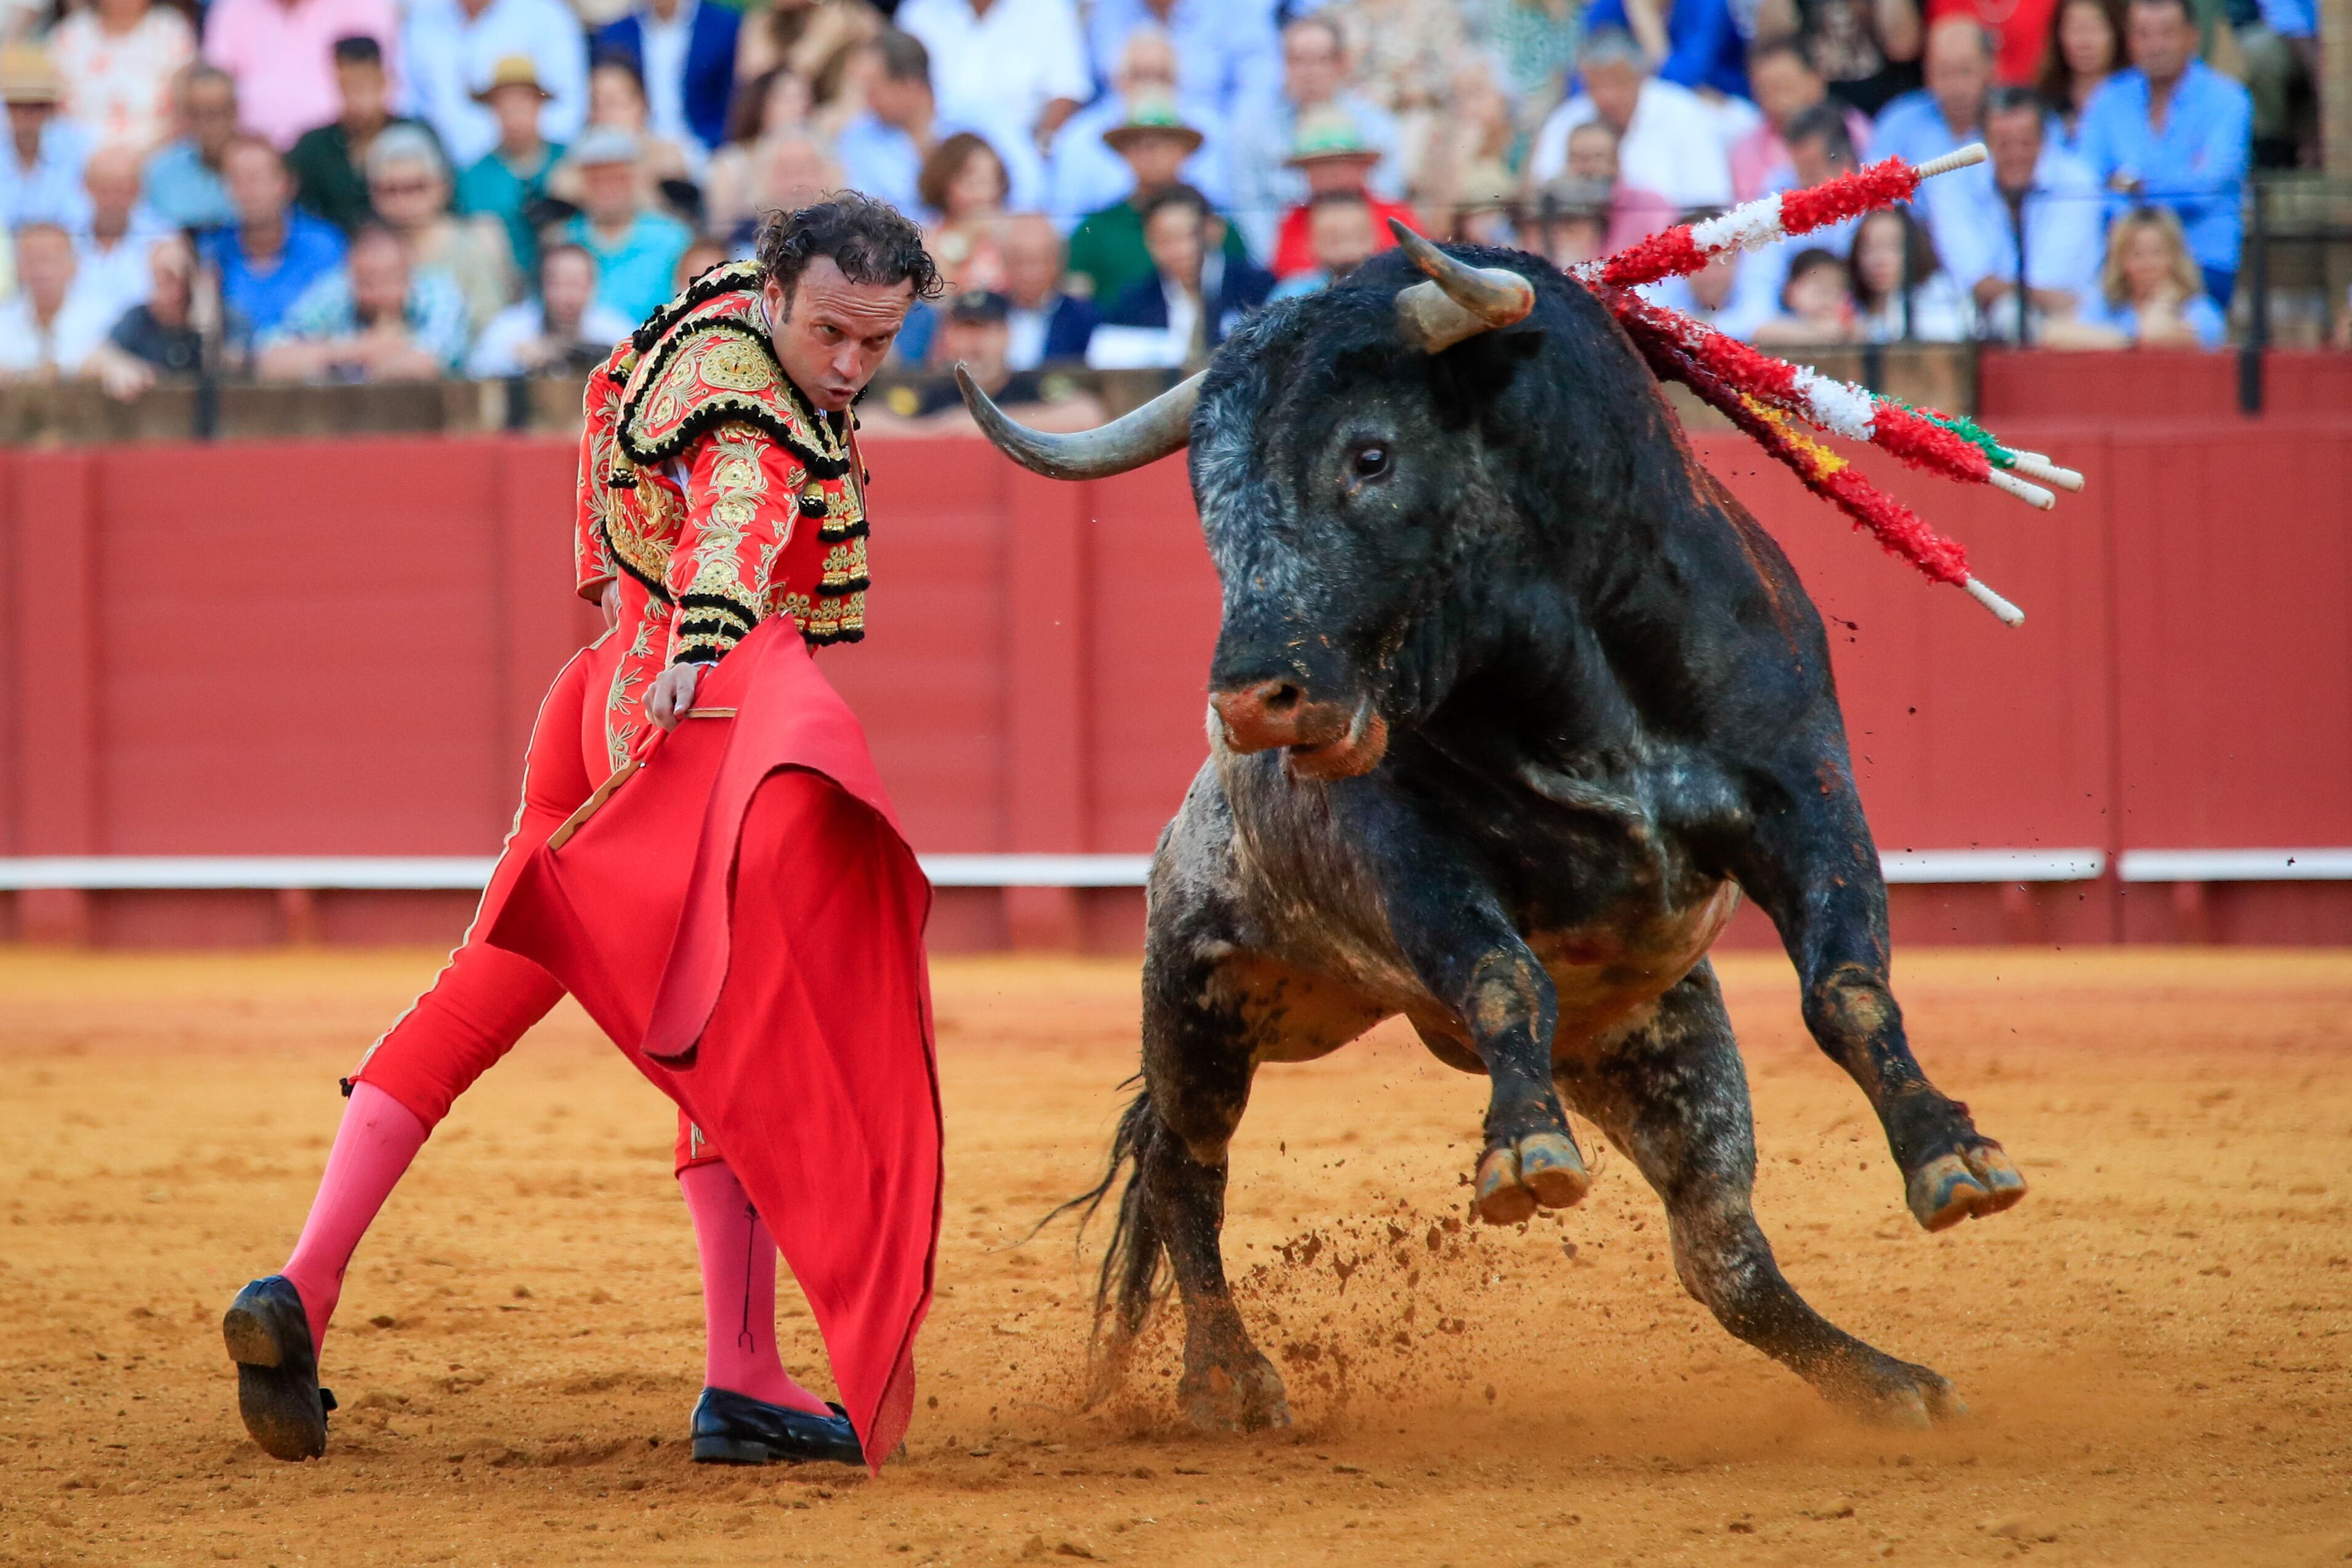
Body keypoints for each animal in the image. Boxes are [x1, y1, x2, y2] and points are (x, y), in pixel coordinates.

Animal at [955, 236, 2023, 1439]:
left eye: (1369, 454)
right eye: (1208, 499)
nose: (1249, 703)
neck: (1569, 677)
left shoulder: (1803, 793)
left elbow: (1846, 986)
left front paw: (1953, 1159)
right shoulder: (1402, 851)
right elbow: (1502, 971)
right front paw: (1523, 1149)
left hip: (1655, 1041)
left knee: (1721, 1253)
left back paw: (1885, 1383)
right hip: (1197, 1000)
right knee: (1186, 1168)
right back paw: (1227, 1378)